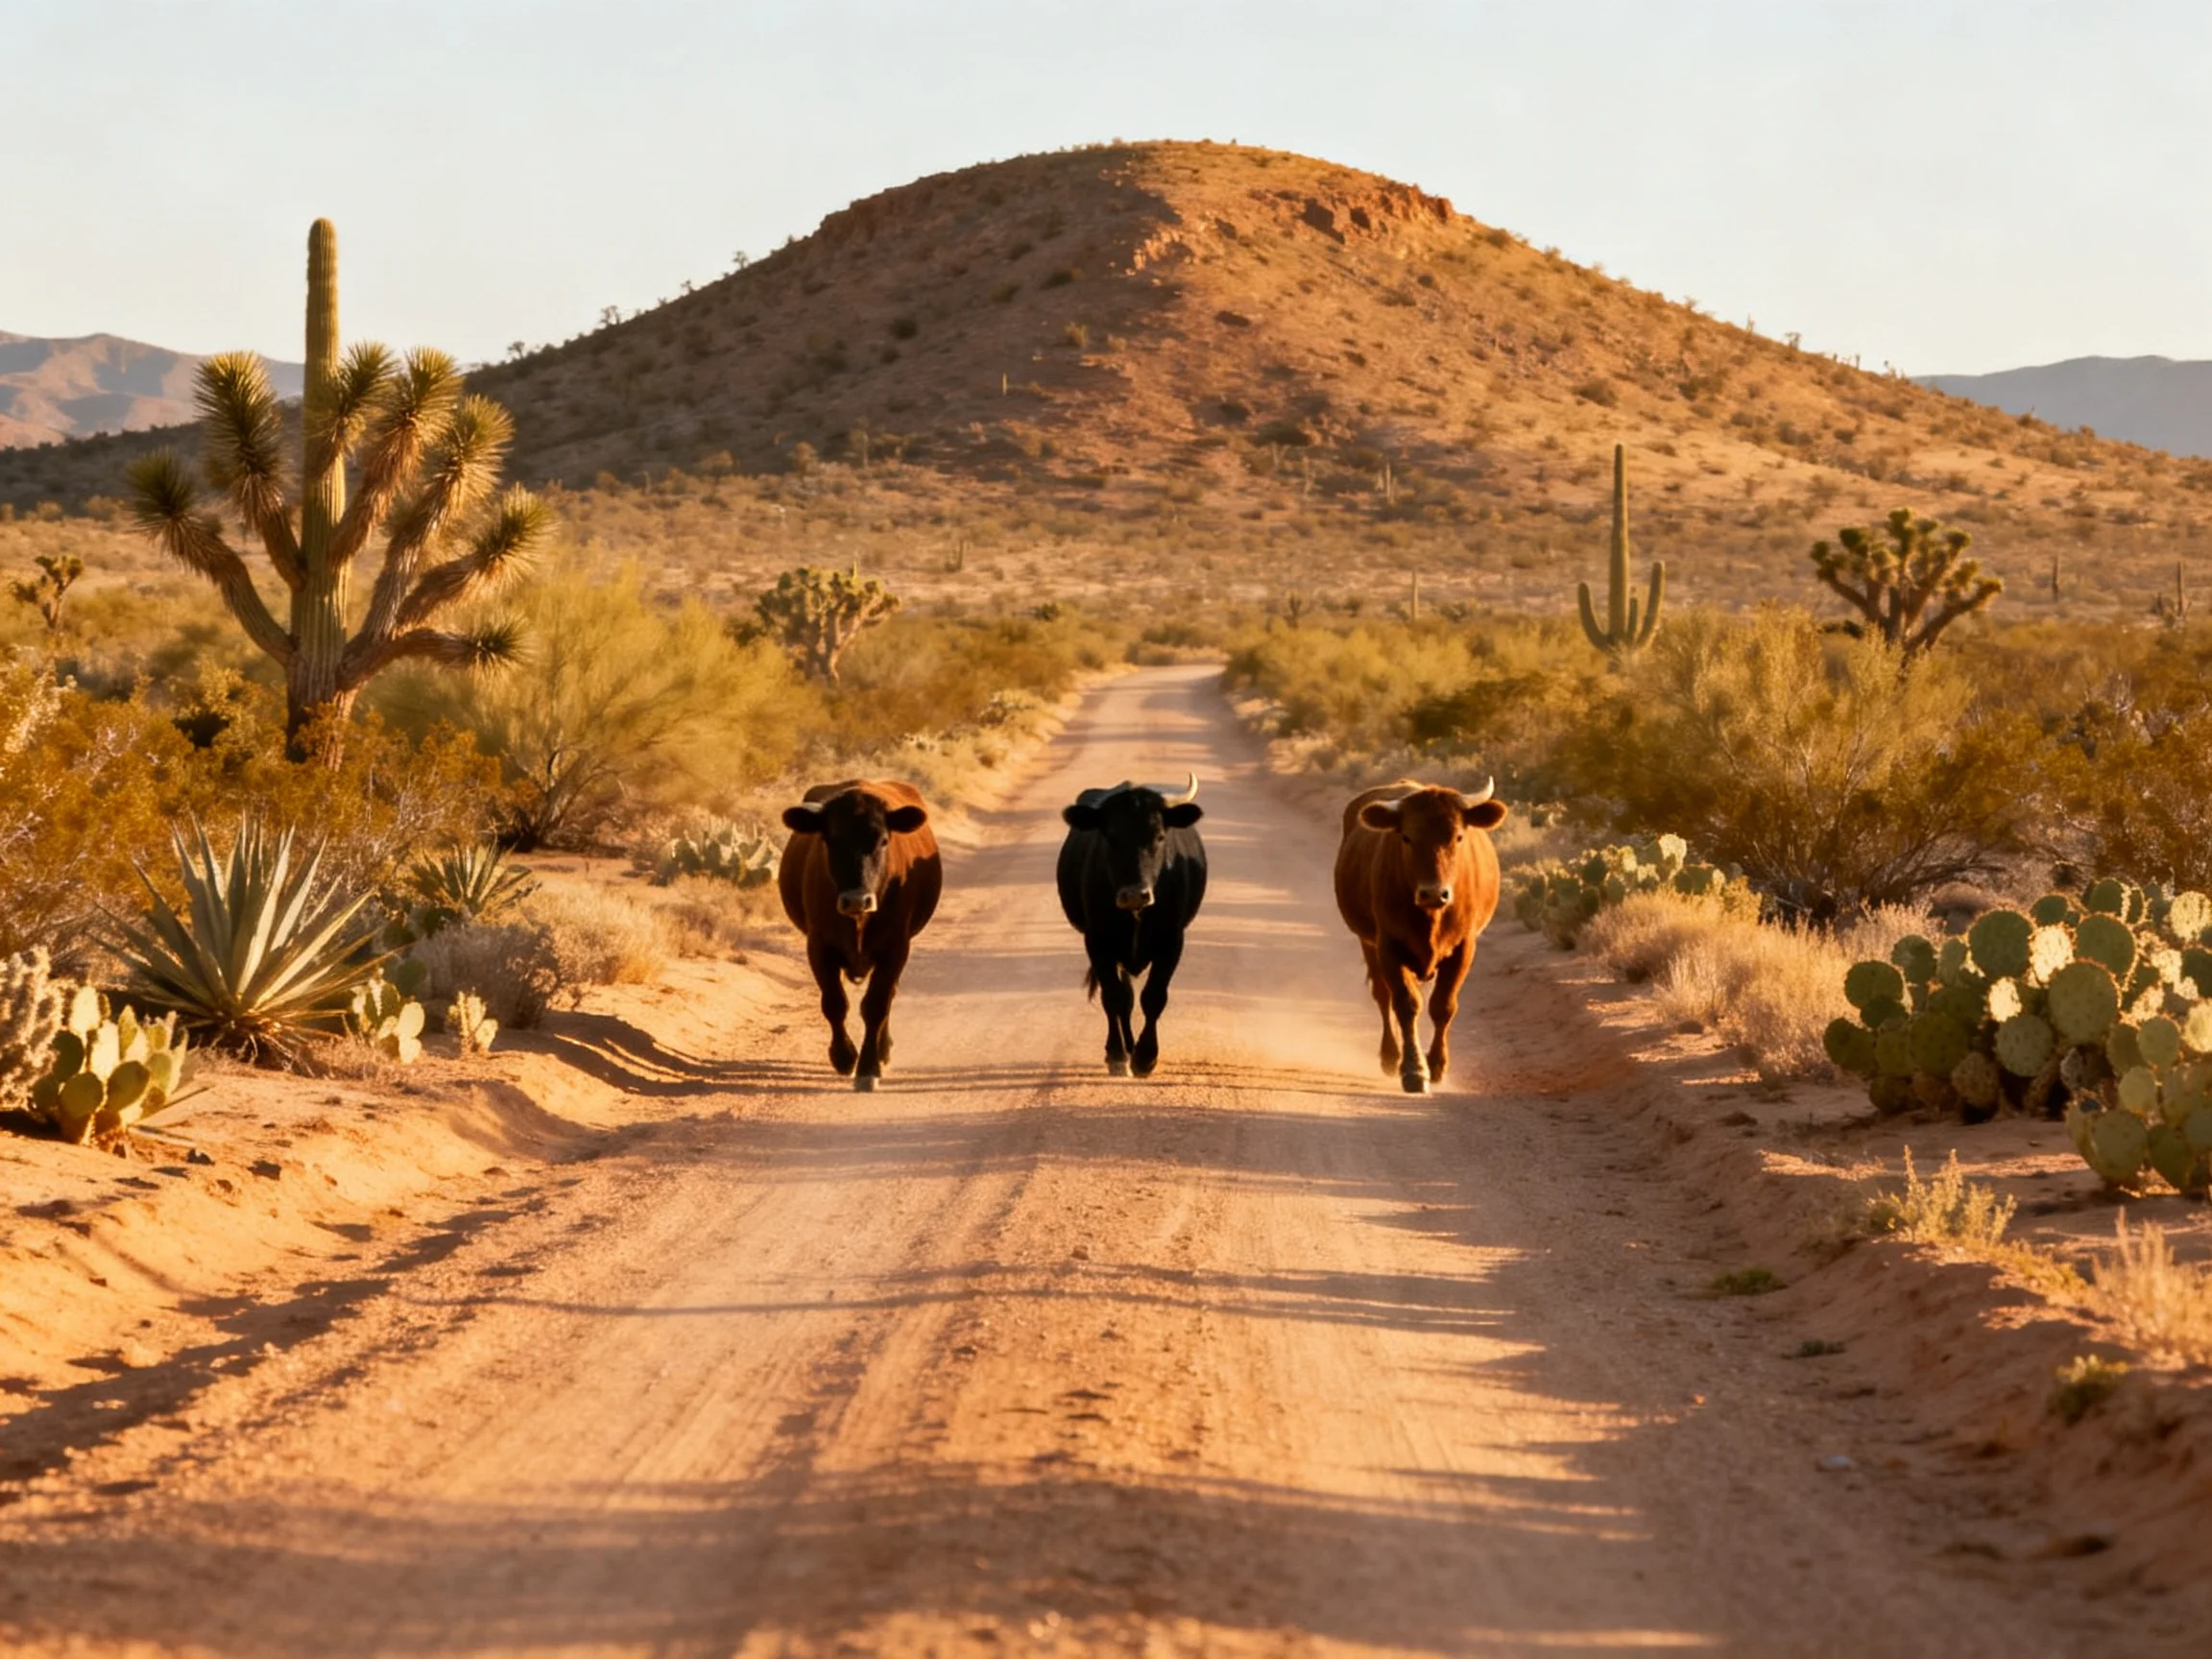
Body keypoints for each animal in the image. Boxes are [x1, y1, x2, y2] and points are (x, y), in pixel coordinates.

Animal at [777, 779, 942, 1091]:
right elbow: (834, 1003)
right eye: (830, 839)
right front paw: (843, 1057)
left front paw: (868, 1067)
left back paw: (884, 1049)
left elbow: (876, 1005)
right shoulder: (818, 947)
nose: (856, 900)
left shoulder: (896, 947)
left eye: (883, 841)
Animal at [1056, 773, 1207, 1077]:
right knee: (1123, 998)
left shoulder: (1172, 941)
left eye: (1159, 836)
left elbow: (1154, 997)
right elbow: (1114, 997)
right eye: (1110, 837)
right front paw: (1117, 1054)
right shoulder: (1097, 941)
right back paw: (1124, 1049)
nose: (1135, 894)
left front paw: (1146, 1057)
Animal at [1332, 778, 1509, 1094]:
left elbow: (1443, 1006)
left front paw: (1437, 1065)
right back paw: (1390, 1056)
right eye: (1407, 837)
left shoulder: (1464, 948)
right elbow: (1406, 1004)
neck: (1431, 918)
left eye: (1458, 837)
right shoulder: (1388, 946)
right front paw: (1414, 1070)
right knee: (1383, 996)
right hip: (1368, 944)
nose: (1434, 893)